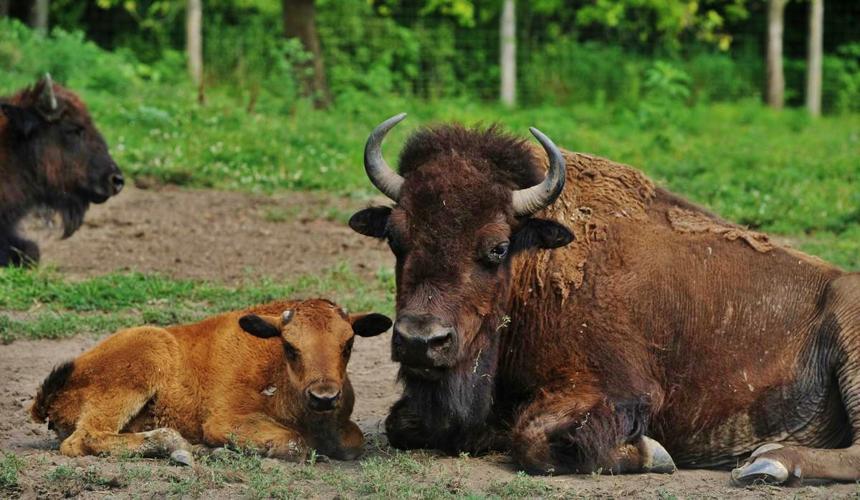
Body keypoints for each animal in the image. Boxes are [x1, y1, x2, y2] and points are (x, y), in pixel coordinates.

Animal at [349, 114, 860, 485]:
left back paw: (769, 463)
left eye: (497, 247)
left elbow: (532, 437)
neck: (536, 263)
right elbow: (403, 424)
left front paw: (653, 453)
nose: (421, 341)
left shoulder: (619, 387)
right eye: (395, 238)